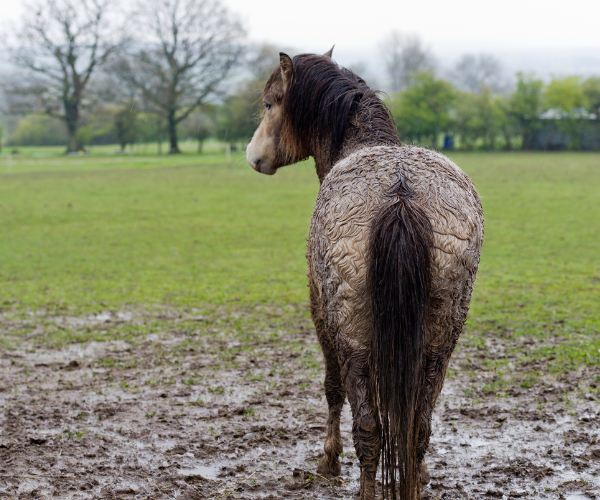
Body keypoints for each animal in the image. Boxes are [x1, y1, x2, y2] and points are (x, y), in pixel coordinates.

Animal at [246, 47, 486, 500]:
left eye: (270, 103)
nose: (253, 155)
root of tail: (400, 194)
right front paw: (421, 473)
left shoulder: (321, 311)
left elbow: (332, 388)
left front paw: (328, 459)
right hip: (439, 343)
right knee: (417, 427)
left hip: (353, 336)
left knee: (369, 428)